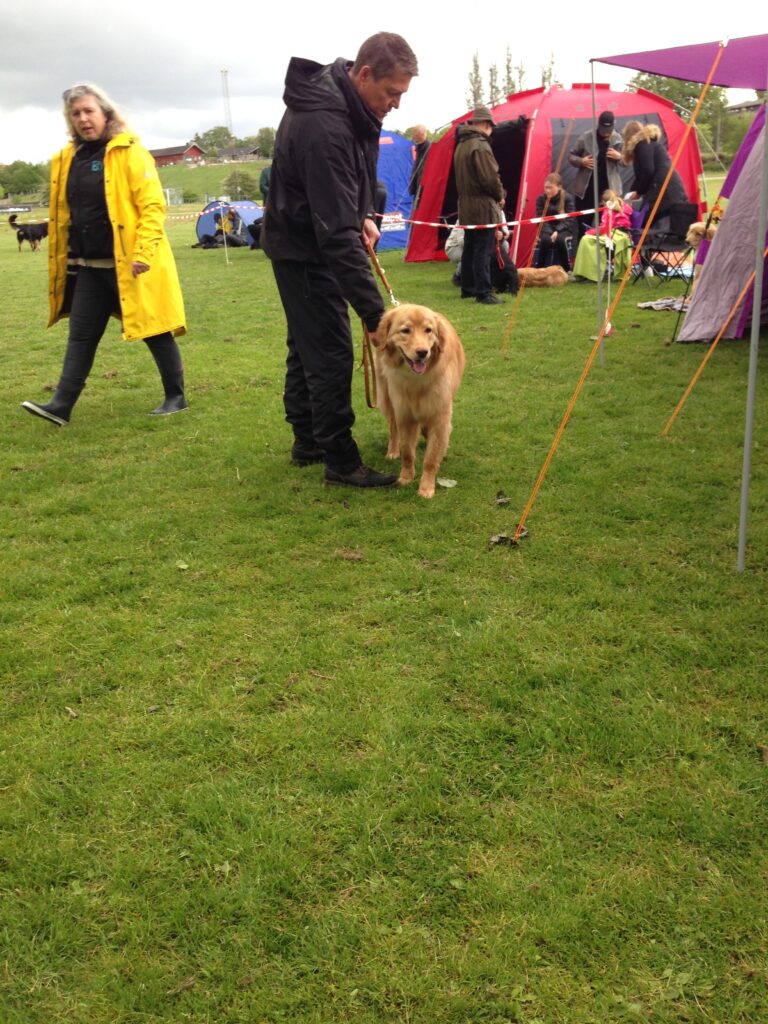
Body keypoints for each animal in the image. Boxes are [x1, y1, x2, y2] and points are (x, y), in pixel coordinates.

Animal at [376, 301, 466, 497]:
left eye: (428, 330)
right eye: (405, 330)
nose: (422, 352)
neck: (416, 380)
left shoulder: (439, 416)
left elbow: (431, 458)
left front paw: (426, 487)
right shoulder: (405, 416)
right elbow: (407, 452)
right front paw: (406, 478)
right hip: (388, 397)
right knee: (392, 426)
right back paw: (393, 451)